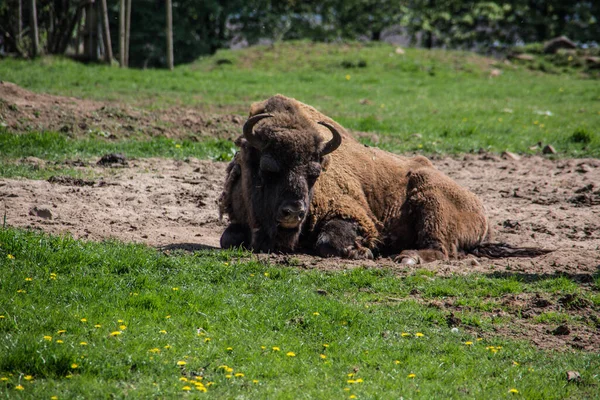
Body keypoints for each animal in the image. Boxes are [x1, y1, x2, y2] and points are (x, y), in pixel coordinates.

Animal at [219, 93, 548, 262]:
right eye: (268, 169)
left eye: (315, 173)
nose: (294, 213)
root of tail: (481, 211)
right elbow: (228, 238)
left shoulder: (354, 215)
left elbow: (330, 239)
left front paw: (362, 251)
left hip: (431, 202)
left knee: (440, 249)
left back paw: (407, 257)